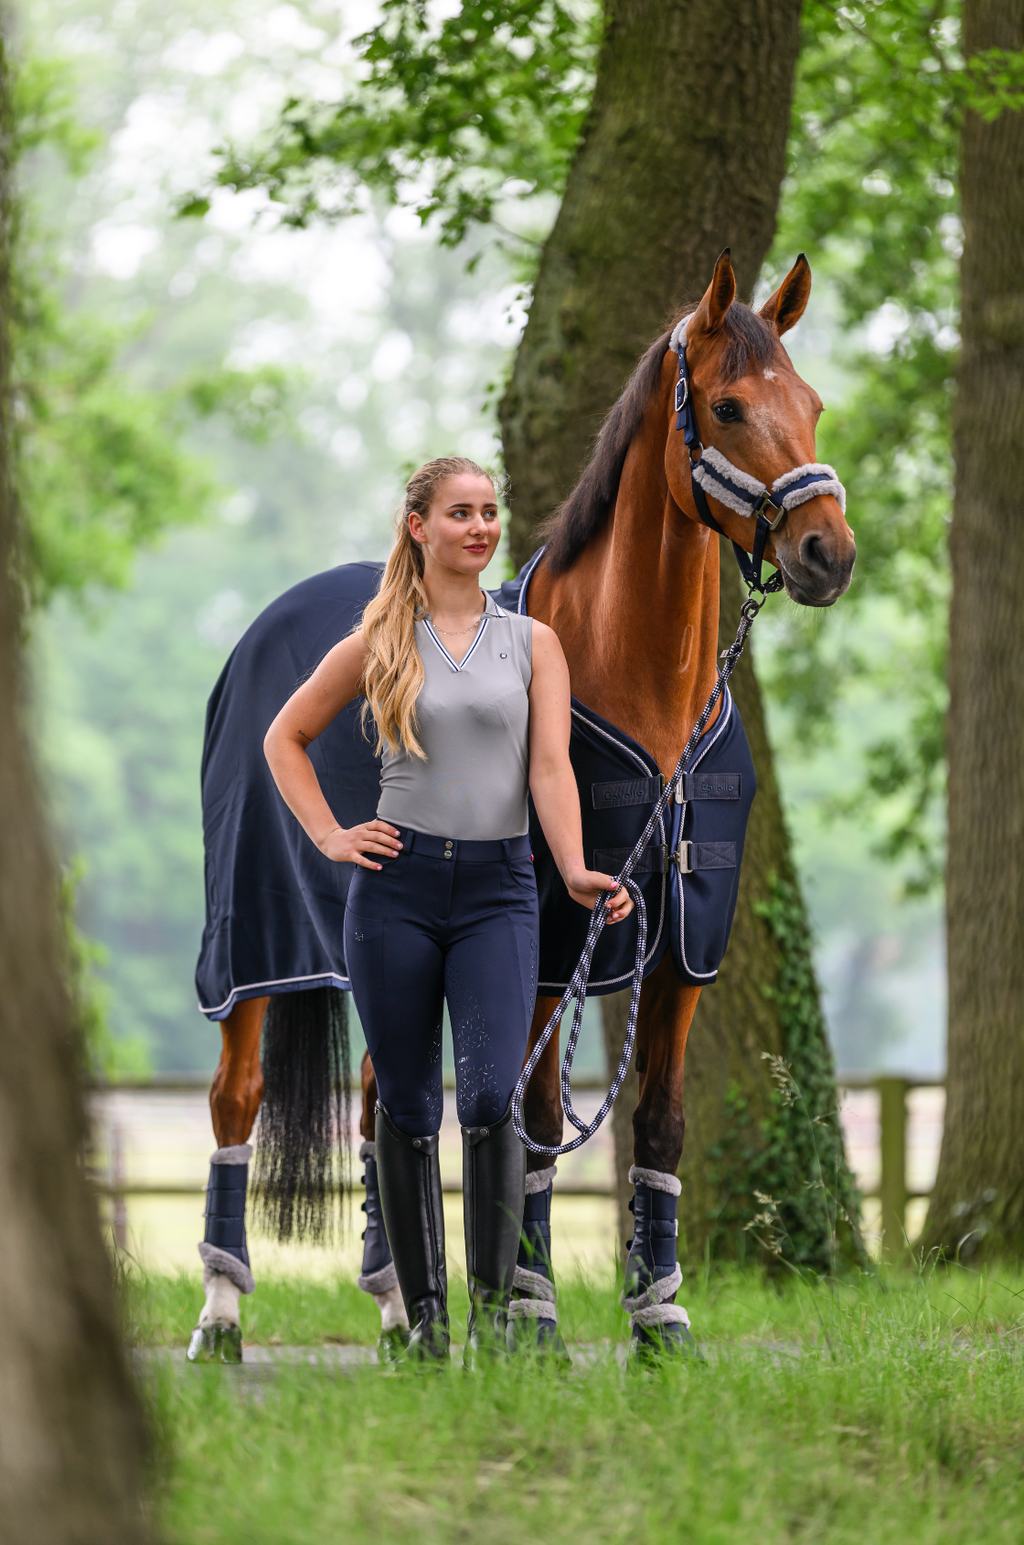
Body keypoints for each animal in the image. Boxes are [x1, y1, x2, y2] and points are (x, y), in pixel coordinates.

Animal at [188, 250, 854, 1363]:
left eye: (809, 403)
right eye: (727, 405)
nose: (827, 553)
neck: (646, 703)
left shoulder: (682, 953)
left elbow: (659, 1122)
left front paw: (660, 1314)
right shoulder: (551, 947)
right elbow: (536, 1118)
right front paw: (534, 1313)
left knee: (384, 1105)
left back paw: (395, 1307)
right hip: (252, 952)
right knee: (236, 1098)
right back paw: (222, 1312)